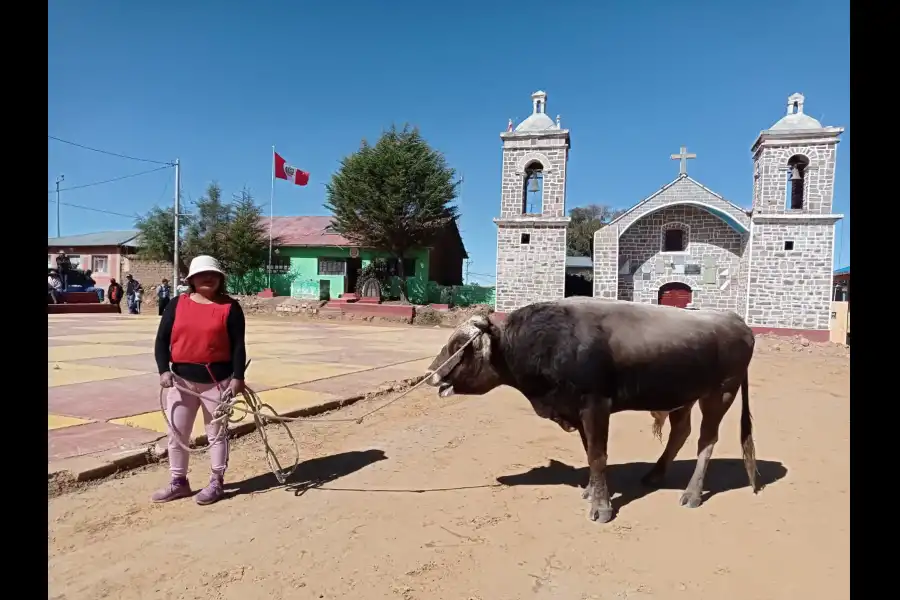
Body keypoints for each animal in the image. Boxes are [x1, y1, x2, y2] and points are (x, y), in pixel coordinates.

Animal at [426, 298, 764, 524]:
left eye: (459, 346)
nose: (430, 373)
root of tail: (735, 319)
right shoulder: (577, 410)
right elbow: (589, 450)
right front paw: (590, 491)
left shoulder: (595, 405)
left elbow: (598, 454)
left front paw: (601, 507)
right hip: (683, 396)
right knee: (681, 433)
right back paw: (655, 474)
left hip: (720, 393)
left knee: (707, 441)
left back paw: (692, 493)